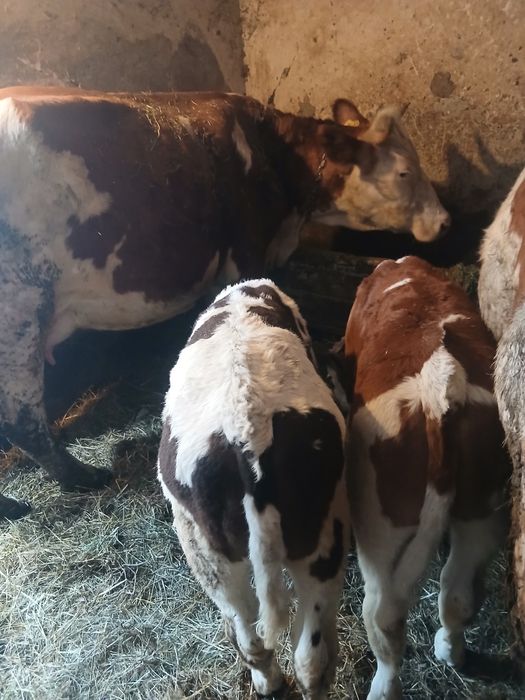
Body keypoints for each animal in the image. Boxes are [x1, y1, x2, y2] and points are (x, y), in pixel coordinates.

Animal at [0, 86, 449, 519]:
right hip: (20, 306)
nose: (445, 221)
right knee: (21, 417)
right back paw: (81, 477)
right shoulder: (246, 254)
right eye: (405, 171)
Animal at [157, 279, 349, 700]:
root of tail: (246, 434)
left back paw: (268, 683)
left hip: (208, 551)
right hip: (323, 532)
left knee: (252, 638)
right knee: (310, 652)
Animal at [335, 256, 509, 700]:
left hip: (381, 526)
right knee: (459, 590)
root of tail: (442, 385)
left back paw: (384, 686)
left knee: (384, 614)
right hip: (480, 506)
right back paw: (451, 651)